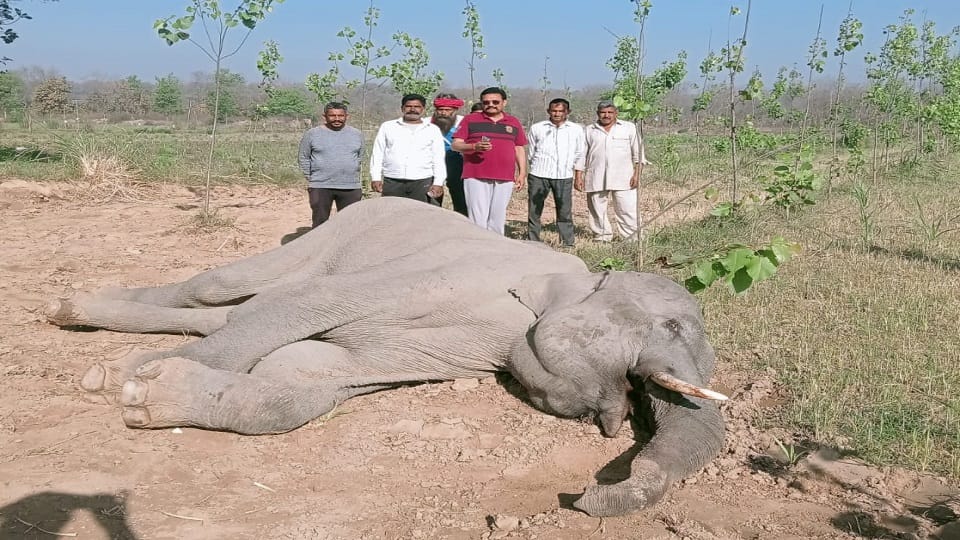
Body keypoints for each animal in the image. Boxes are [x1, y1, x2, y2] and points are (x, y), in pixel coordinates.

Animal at [46, 196, 726, 517]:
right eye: (670, 324)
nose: (583, 494)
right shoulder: (457, 277)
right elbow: (308, 306)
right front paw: (130, 381)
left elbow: (303, 382)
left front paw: (146, 394)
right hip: (337, 231)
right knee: (223, 288)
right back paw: (77, 319)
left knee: (231, 307)